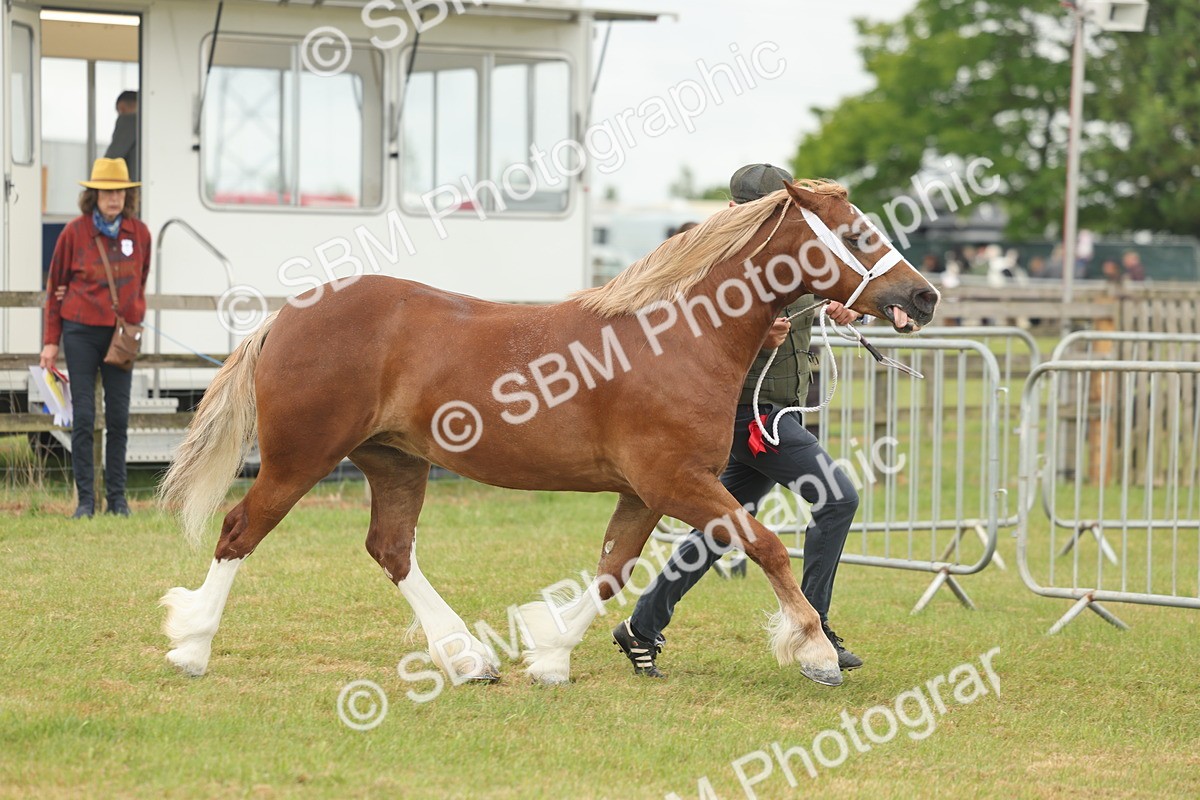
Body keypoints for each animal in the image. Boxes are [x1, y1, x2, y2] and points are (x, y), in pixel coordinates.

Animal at [159, 179, 939, 688]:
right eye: (859, 233)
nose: (924, 296)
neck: (679, 337)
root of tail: (287, 315)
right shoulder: (678, 483)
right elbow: (769, 547)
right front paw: (815, 651)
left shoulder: (648, 492)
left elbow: (612, 571)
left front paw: (551, 657)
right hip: (301, 458)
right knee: (240, 530)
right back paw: (192, 648)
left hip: (394, 462)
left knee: (391, 549)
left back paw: (468, 659)